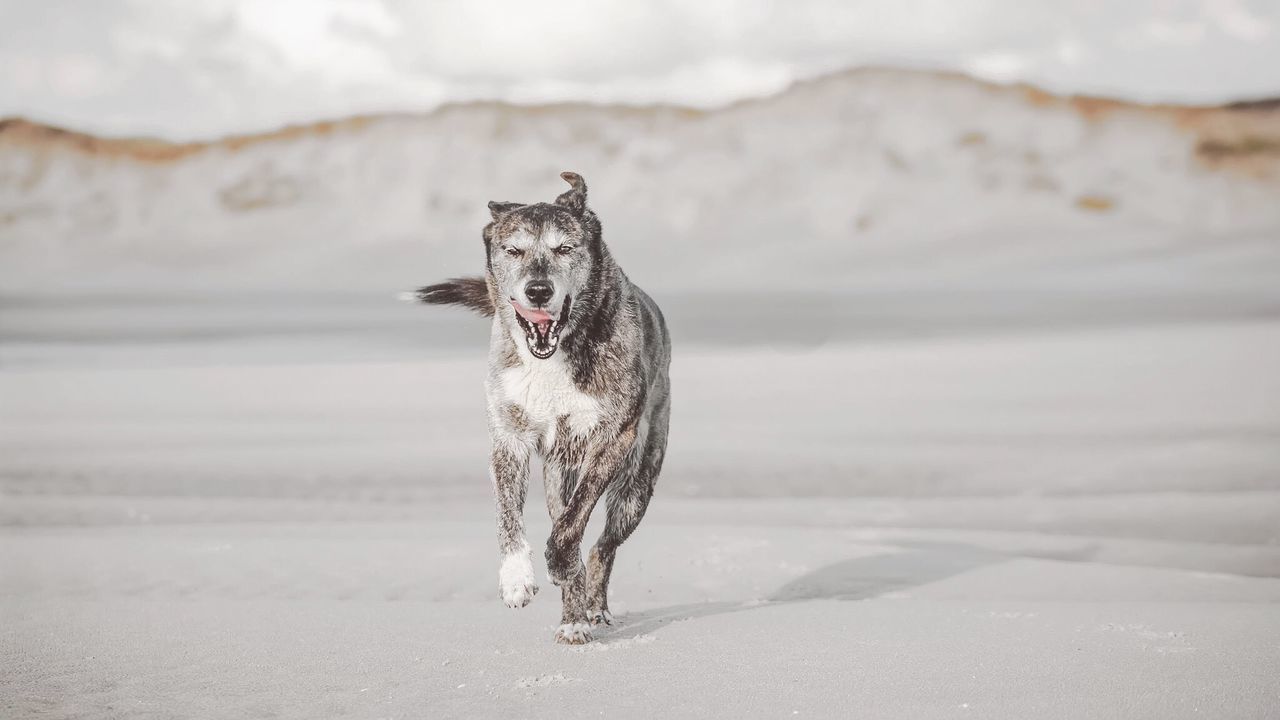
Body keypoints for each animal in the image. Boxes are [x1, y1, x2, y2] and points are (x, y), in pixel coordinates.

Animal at [409, 170, 675, 640]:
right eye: (513, 250)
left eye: (564, 249)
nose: (537, 290)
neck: (553, 356)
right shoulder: (508, 438)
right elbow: (508, 515)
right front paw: (516, 579)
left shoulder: (611, 439)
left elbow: (573, 524)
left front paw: (560, 563)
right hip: (558, 475)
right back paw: (573, 618)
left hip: (637, 485)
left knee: (602, 545)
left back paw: (590, 609)